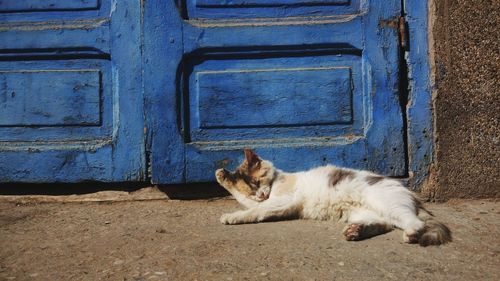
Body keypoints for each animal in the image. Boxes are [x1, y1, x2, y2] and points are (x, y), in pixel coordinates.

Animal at [217, 149, 452, 245]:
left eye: (256, 182)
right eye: (251, 188)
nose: (260, 194)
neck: (275, 182)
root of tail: (413, 196)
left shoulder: (281, 201)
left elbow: (254, 210)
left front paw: (231, 216)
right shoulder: (267, 201)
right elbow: (247, 202)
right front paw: (221, 175)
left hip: (385, 203)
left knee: (415, 223)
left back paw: (411, 234)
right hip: (365, 212)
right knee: (384, 223)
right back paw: (355, 231)